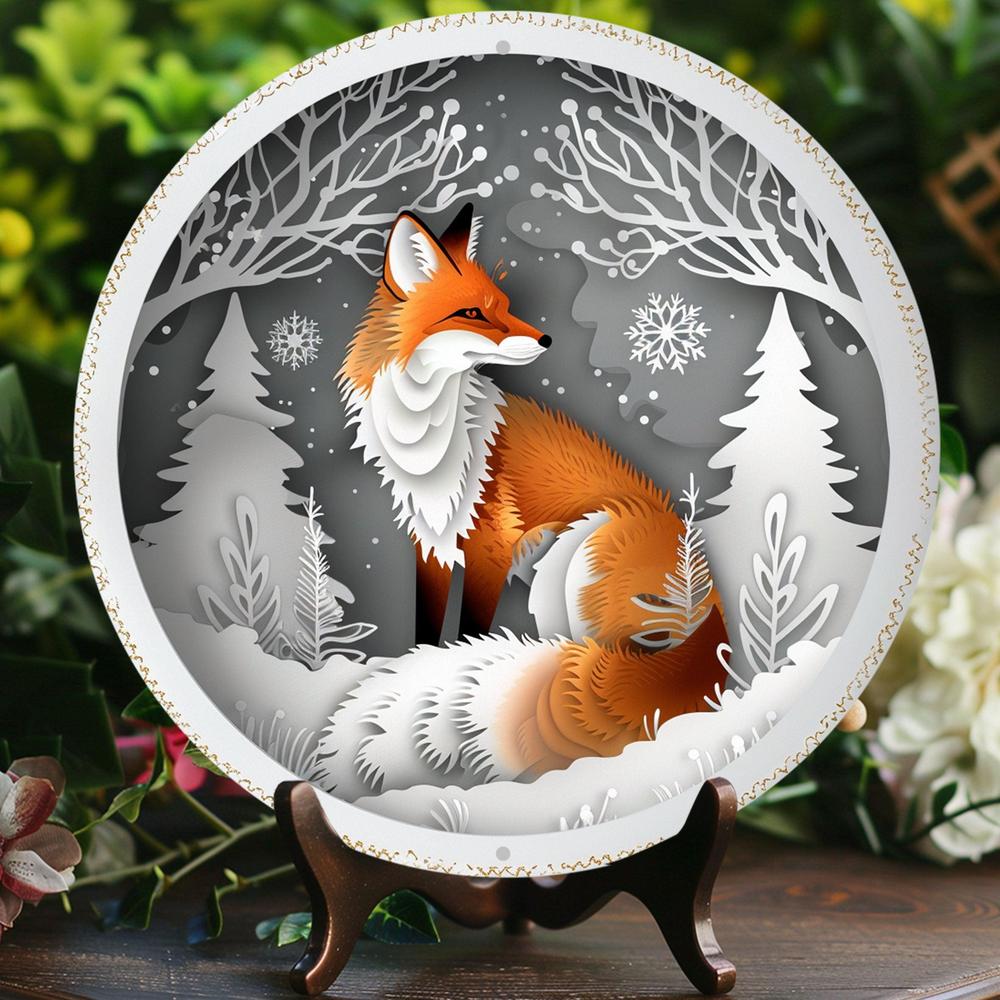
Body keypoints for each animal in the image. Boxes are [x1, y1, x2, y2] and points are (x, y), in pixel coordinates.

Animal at [328, 203, 728, 795]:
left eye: (506, 306)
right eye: (473, 312)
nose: (545, 340)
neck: (430, 434)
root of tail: (713, 602)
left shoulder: (489, 548)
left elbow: (467, 633)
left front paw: (448, 665)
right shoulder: (431, 539)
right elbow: (427, 627)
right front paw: (416, 662)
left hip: (572, 558)